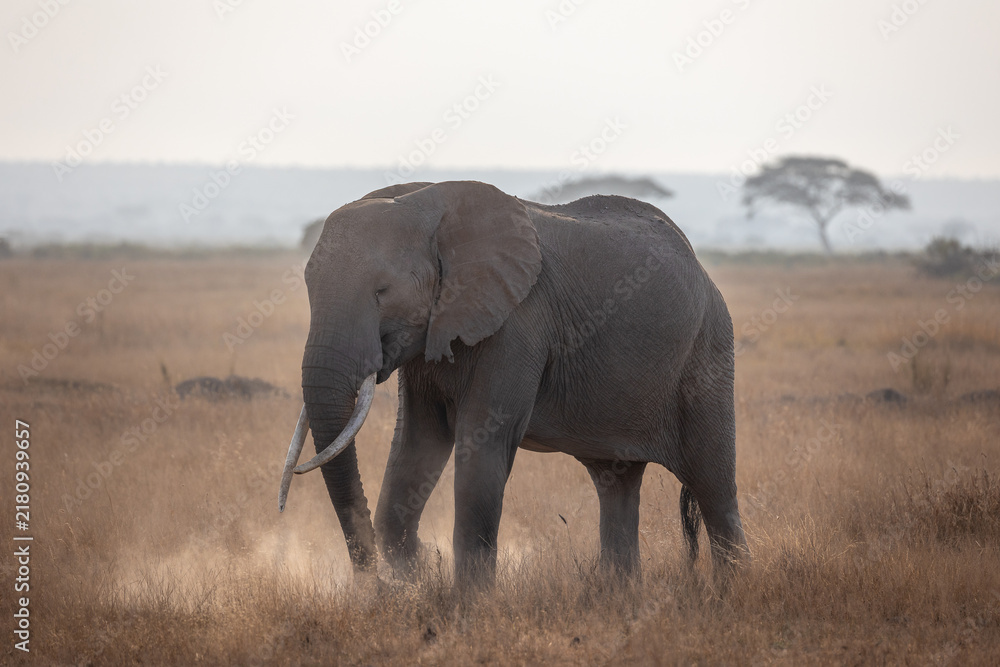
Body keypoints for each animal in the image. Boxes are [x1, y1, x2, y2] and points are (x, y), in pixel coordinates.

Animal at [278, 180, 748, 587]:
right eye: (307, 287)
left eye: (382, 291)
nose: (373, 587)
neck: (428, 207)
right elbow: (416, 443)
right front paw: (419, 580)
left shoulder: (516, 323)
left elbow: (482, 448)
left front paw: (467, 608)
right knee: (617, 481)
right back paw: (620, 596)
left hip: (707, 353)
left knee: (713, 482)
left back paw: (729, 593)